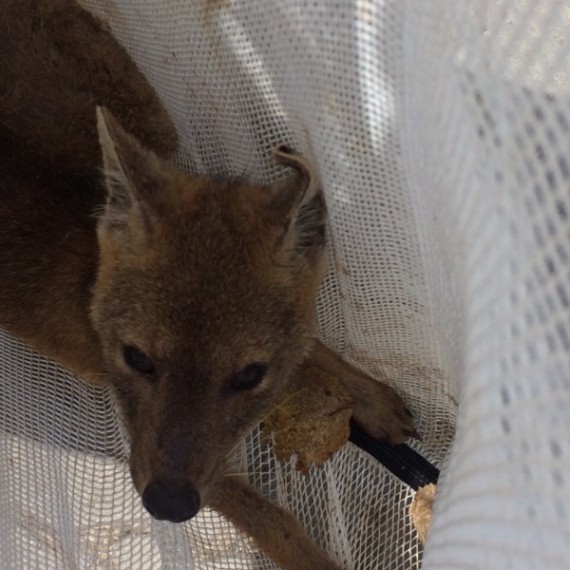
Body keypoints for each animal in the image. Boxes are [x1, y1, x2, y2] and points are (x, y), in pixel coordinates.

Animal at [1, 1, 418, 568]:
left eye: (249, 375)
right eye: (136, 358)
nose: (168, 505)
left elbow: (313, 343)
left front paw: (374, 400)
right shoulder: (146, 452)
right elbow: (271, 519)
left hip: (148, 112)